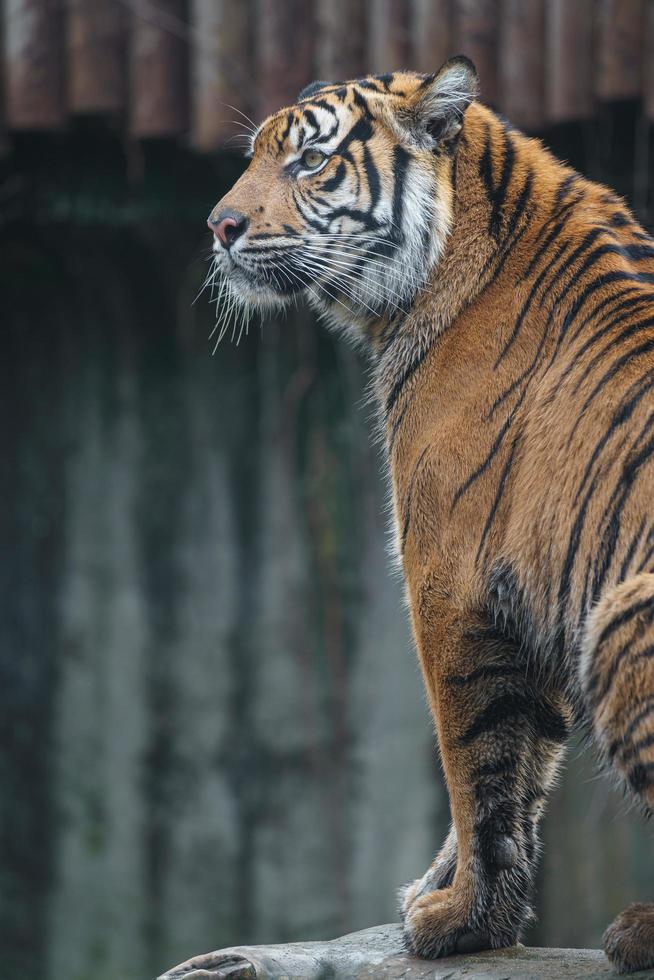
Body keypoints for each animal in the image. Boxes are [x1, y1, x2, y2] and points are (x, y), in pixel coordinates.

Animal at [208, 59, 654, 972]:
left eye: (309, 162)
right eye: (255, 156)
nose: (219, 227)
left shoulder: (452, 583)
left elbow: (476, 762)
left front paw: (461, 922)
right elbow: (525, 769)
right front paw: (441, 893)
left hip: (621, 615)